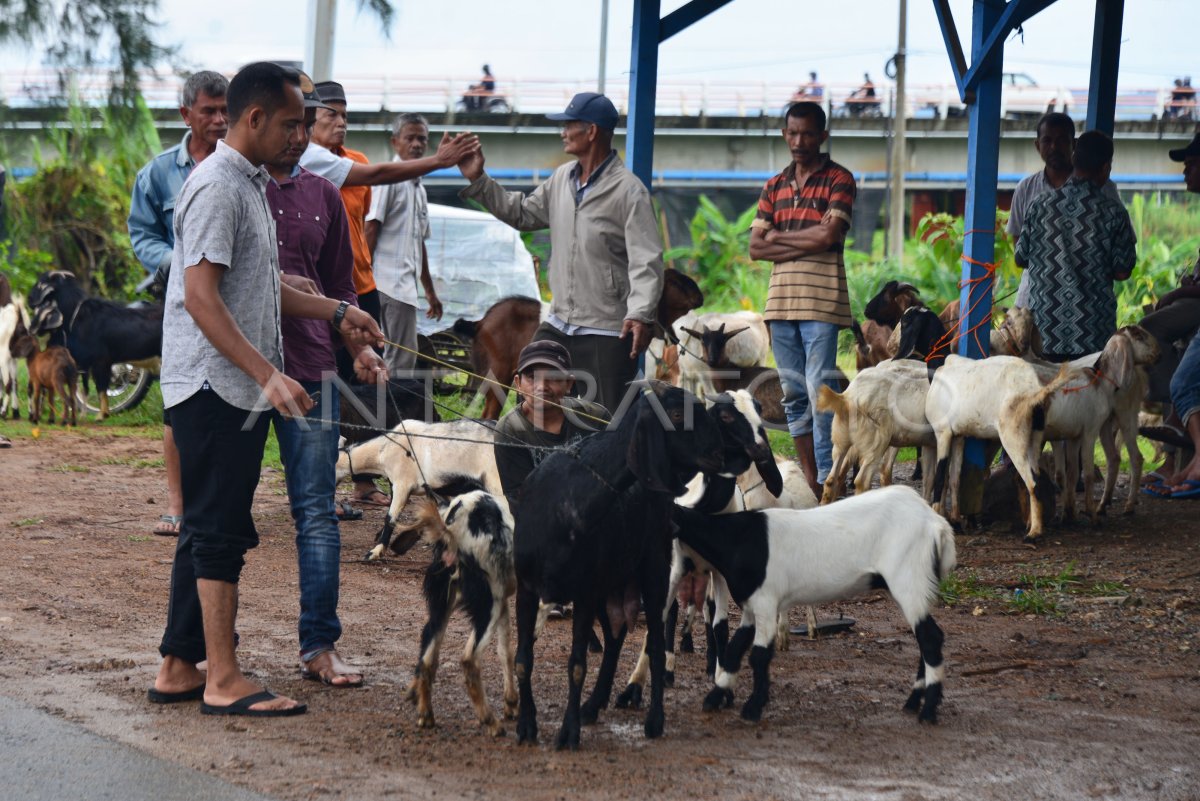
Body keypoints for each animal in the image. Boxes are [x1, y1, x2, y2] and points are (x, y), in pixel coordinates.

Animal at [28, 270, 162, 419]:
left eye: (40, 284)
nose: (29, 299)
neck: (75, 316)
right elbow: (88, 389)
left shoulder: (100, 362)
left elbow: (101, 389)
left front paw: (102, 415)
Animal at [391, 474, 518, 738]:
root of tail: (451, 532)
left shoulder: (503, 601)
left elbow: (505, 651)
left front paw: (511, 703)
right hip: (486, 607)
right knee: (469, 660)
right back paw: (491, 722)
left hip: (443, 606)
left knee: (427, 657)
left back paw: (426, 715)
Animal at [513, 381, 720, 753]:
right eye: (677, 412)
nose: (721, 453)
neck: (567, 504)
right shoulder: (528, 588)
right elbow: (523, 660)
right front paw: (526, 725)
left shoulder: (582, 591)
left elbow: (577, 665)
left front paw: (568, 732)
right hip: (609, 584)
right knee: (614, 637)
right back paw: (592, 706)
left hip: (652, 572)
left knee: (654, 643)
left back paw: (654, 720)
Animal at [676, 482, 955, 724]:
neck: (738, 540)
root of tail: (937, 524)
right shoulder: (751, 606)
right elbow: (735, 649)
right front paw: (714, 697)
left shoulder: (766, 601)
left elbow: (759, 655)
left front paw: (753, 708)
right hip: (916, 584)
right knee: (925, 638)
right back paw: (913, 701)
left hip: (908, 576)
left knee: (930, 638)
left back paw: (928, 711)